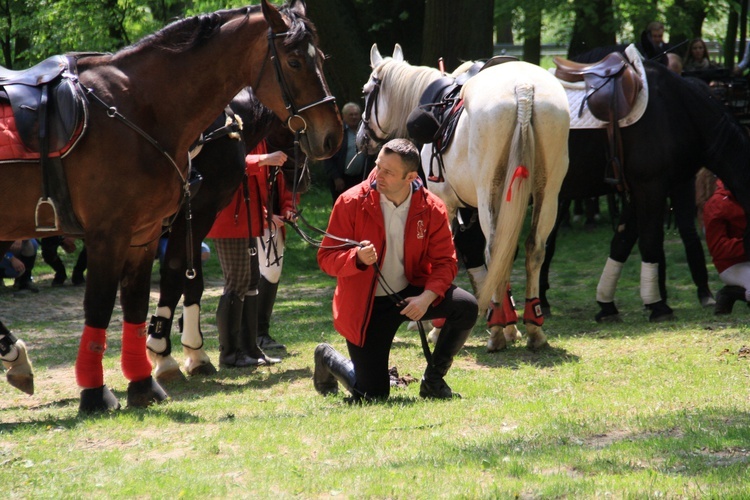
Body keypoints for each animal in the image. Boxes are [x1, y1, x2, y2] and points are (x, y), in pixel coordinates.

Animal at [0, 0, 344, 414]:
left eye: (322, 59)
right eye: (294, 61)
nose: (331, 137)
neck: (140, 109)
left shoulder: (148, 231)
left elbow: (152, 293)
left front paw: (153, 372)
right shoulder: (130, 229)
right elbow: (146, 288)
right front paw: (151, 363)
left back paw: (15, 357)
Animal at [358, 45, 568, 350]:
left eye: (365, 92)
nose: (361, 137)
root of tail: (524, 88)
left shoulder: (445, 204)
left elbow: (448, 258)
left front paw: (437, 325)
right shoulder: (473, 209)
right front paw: (510, 325)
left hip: (491, 192)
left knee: (495, 249)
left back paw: (495, 330)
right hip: (547, 192)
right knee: (531, 249)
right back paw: (532, 326)